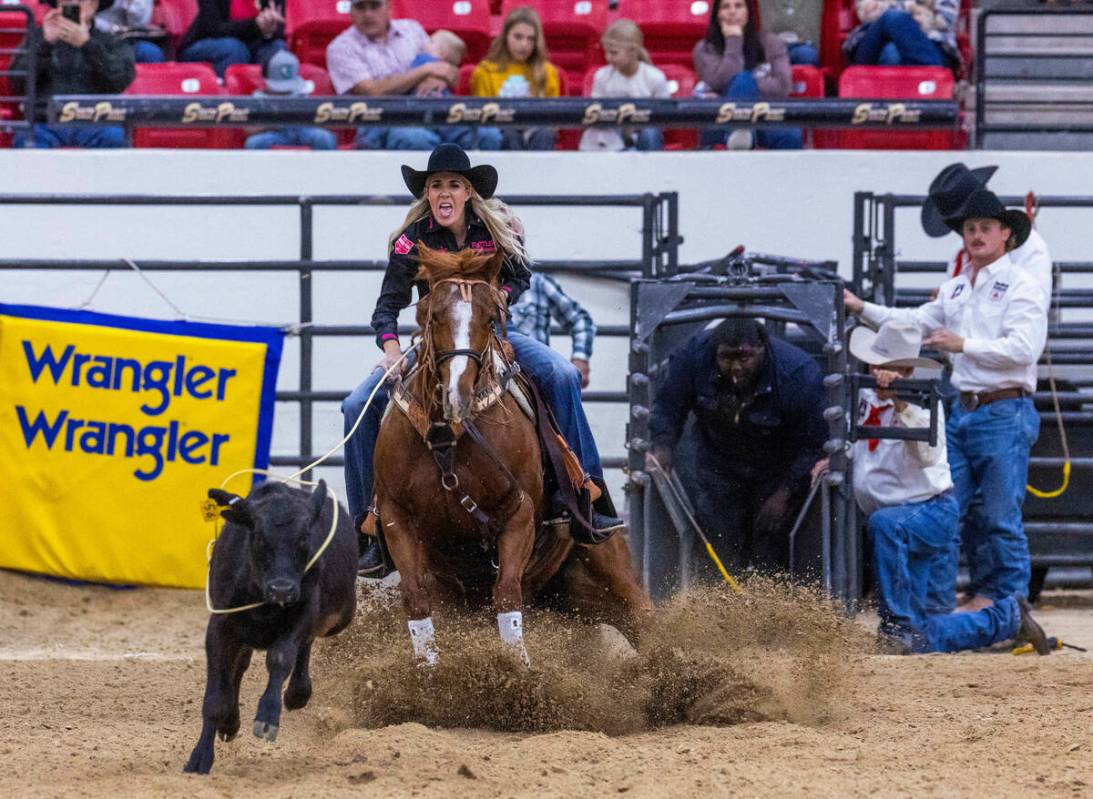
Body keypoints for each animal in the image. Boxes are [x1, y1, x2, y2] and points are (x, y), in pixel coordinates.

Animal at [182, 480, 354, 773]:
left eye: (305, 537)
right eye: (259, 536)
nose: (282, 589)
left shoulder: (301, 616)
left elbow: (281, 659)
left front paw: (267, 717)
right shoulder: (219, 629)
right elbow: (217, 697)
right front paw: (200, 756)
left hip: (339, 617)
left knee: (304, 646)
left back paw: (297, 693)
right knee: (238, 668)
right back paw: (230, 723)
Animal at [371, 247, 651, 664]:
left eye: (491, 318)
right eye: (433, 316)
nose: (458, 393)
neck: (448, 439)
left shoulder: (518, 513)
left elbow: (505, 593)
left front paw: (515, 668)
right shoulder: (396, 517)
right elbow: (416, 597)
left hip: (609, 566)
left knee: (643, 615)